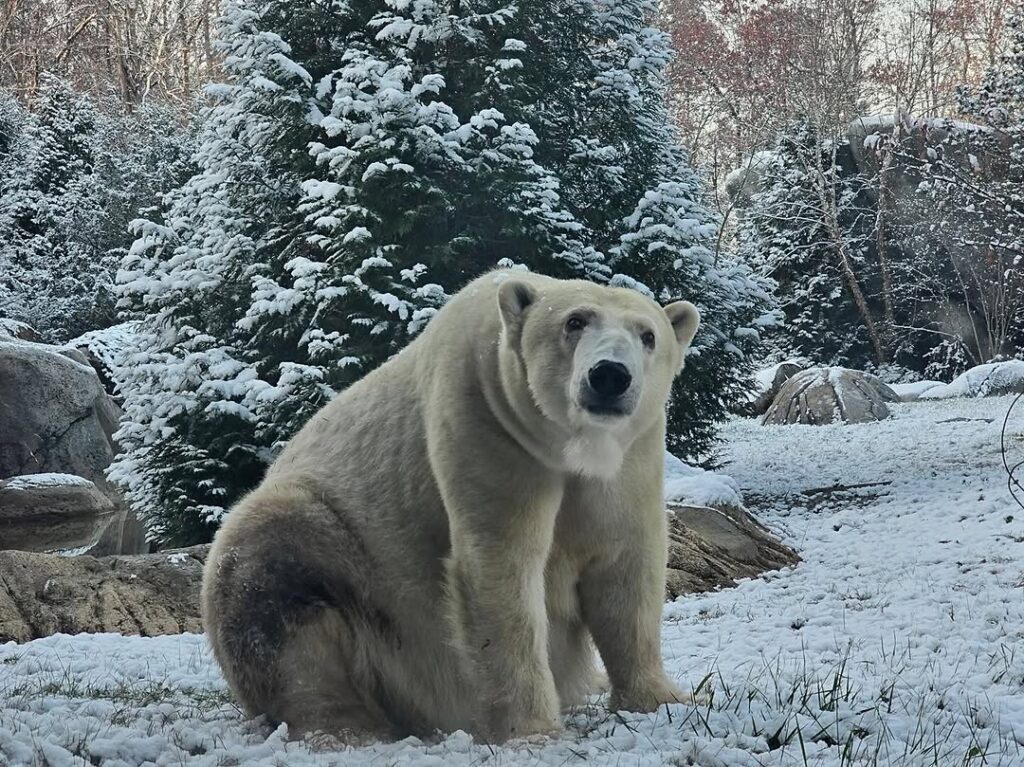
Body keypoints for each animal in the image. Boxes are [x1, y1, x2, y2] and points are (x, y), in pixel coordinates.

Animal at [202, 268, 704, 741]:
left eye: (648, 335)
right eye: (574, 321)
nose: (609, 375)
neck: (569, 448)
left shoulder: (630, 461)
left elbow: (625, 572)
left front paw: (660, 698)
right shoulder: (483, 422)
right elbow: (500, 571)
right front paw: (530, 728)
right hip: (343, 566)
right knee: (276, 600)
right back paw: (345, 726)